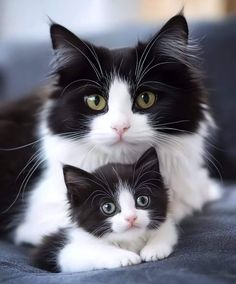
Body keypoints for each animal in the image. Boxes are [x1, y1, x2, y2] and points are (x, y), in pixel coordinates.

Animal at [32, 148, 177, 272]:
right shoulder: (62, 251)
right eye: (108, 207)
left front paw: (154, 249)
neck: (129, 241)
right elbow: (88, 250)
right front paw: (125, 256)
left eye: (142, 200)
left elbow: (166, 229)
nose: (131, 217)